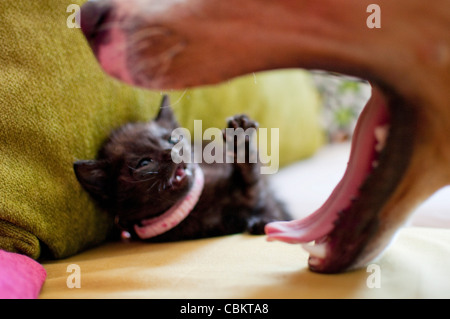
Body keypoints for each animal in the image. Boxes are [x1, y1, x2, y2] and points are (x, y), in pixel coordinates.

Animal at [73, 96, 292, 241]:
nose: (172, 150)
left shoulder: (258, 194)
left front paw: (240, 138)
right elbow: (252, 188)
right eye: (144, 163)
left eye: (172, 139)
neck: (193, 206)